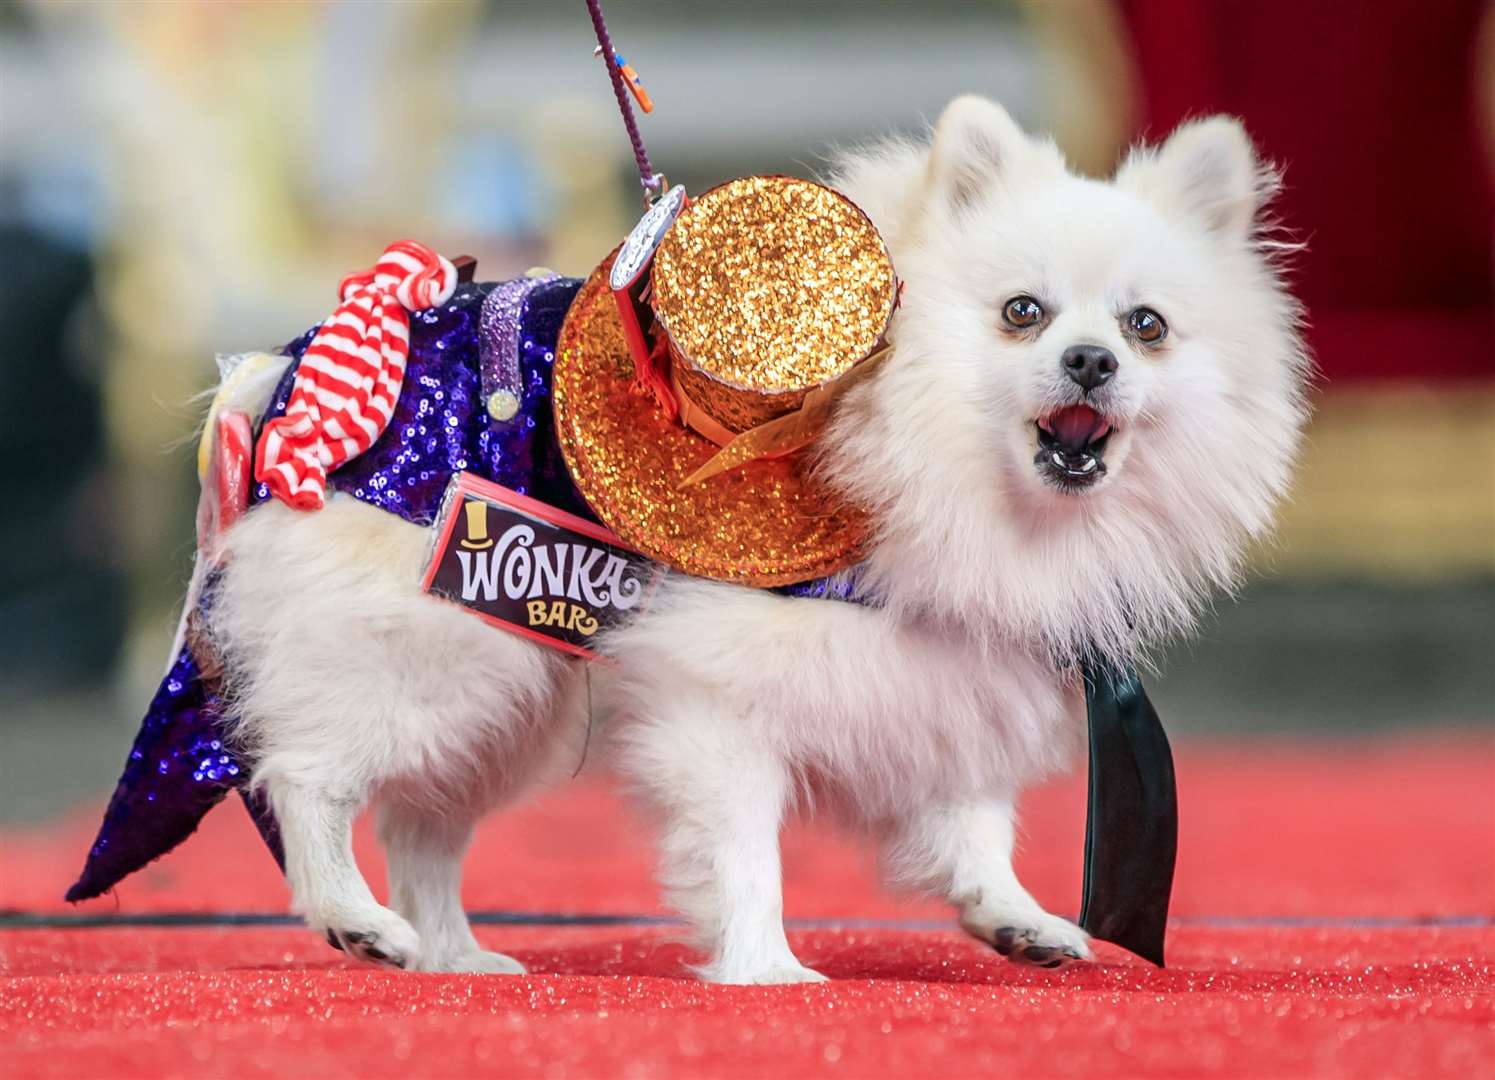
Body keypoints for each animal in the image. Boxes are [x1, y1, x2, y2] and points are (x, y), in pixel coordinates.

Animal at [204, 96, 1303, 981]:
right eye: (1020, 314)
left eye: (1145, 326)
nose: (1089, 360)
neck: (909, 455)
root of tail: (297, 364)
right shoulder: (717, 694)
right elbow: (744, 855)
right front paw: (765, 969)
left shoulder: (945, 668)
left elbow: (972, 816)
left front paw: (1011, 914)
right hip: (440, 650)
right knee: (306, 774)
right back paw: (352, 918)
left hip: (512, 683)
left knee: (422, 825)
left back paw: (450, 956)